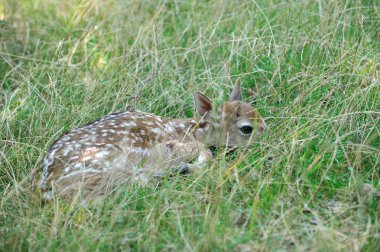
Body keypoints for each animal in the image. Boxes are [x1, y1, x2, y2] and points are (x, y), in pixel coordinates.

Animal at [33, 79, 268, 201]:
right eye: (246, 129)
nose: (266, 132)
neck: (191, 130)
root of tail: (47, 189)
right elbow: (202, 152)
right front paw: (188, 166)